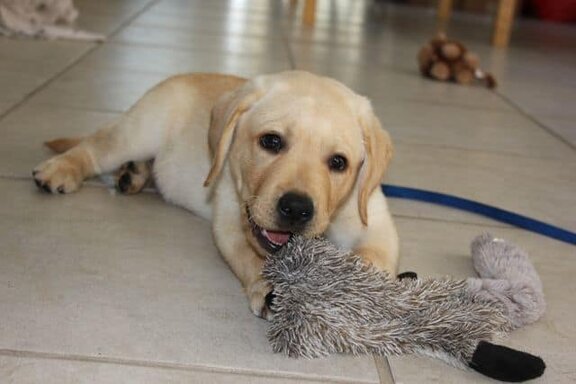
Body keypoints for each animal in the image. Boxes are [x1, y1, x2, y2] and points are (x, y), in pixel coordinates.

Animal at [33, 71, 398, 318]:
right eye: (271, 141)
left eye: (339, 162)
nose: (296, 209)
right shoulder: (230, 219)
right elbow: (249, 256)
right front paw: (268, 287)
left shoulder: (375, 224)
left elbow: (372, 258)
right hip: (138, 130)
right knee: (94, 147)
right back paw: (60, 169)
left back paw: (135, 173)